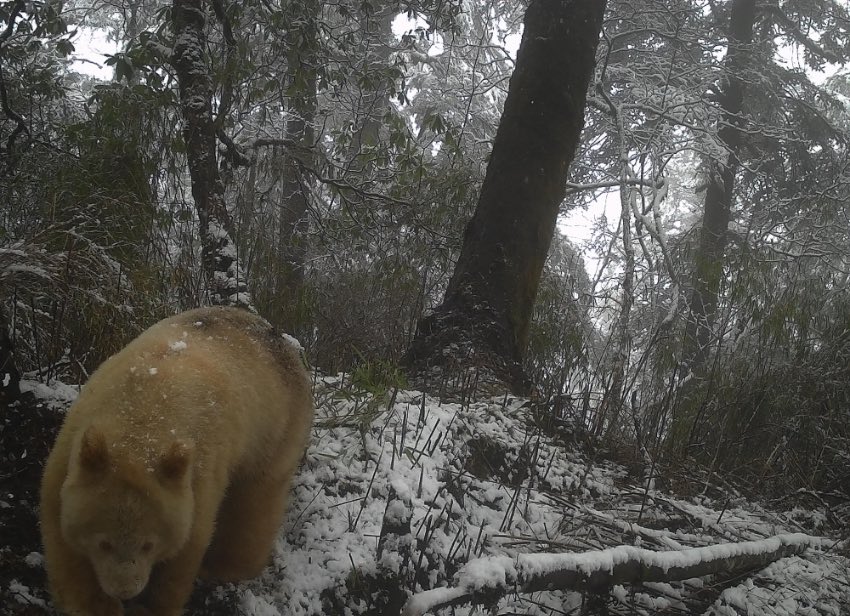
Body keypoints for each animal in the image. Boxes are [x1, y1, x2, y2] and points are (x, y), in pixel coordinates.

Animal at [38, 308, 314, 616]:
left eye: (148, 545)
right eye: (104, 543)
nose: (125, 590)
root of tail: (285, 343)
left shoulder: (200, 465)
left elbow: (189, 542)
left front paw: (150, 606)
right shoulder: (75, 441)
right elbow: (60, 529)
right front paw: (96, 605)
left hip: (275, 430)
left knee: (256, 500)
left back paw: (226, 566)